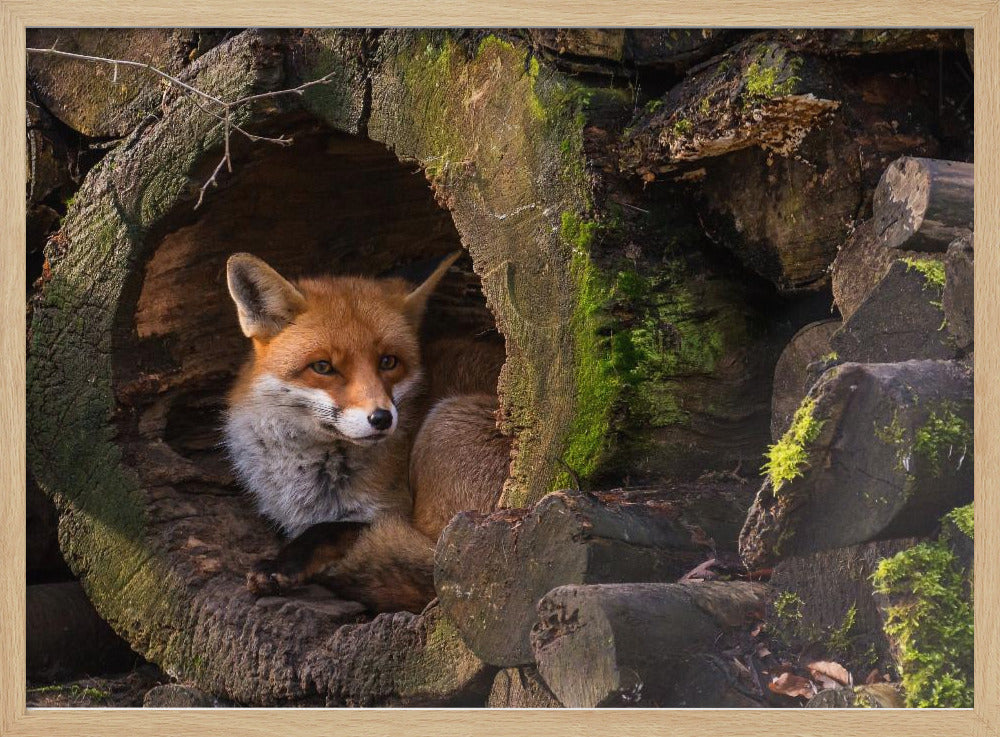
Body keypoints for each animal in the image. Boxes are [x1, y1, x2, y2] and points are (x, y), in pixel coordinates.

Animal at [222, 251, 510, 612]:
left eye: (388, 361)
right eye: (323, 367)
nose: (382, 418)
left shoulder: (390, 511)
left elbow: (330, 529)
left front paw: (282, 563)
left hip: (445, 436)